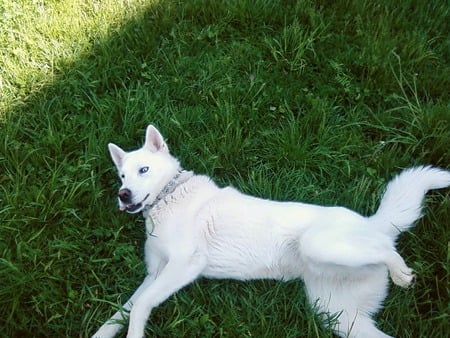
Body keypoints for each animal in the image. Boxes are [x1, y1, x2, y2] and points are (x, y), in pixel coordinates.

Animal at [93, 125, 448, 338]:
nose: (123, 195)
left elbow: (140, 307)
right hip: (338, 316)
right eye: (122, 176)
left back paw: (402, 273)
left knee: (387, 250)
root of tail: (371, 222)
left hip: (321, 247)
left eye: (144, 170)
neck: (169, 198)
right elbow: (120, 312)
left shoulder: (184, 265)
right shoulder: (154, 275)